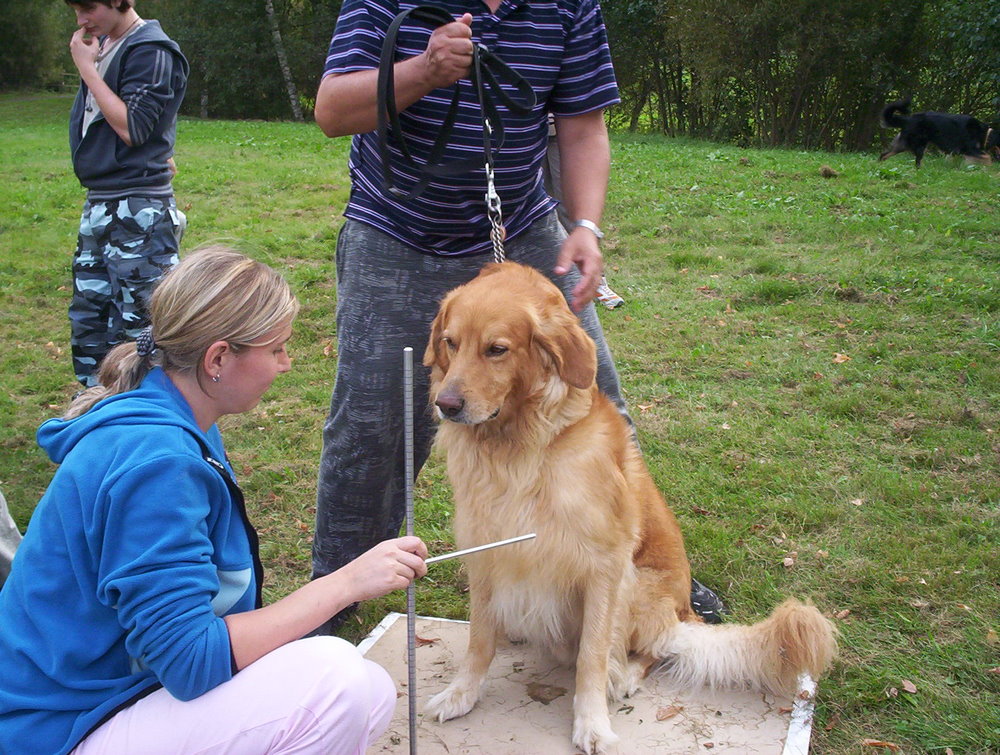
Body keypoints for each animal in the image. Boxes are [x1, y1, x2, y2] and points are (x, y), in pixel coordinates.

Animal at [422, 262, 836, 752]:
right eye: (450, 342)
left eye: (497, 349)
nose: (446, 405)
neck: (520, 445)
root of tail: (685, 614)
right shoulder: (487, 550)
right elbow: (479, 639)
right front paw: (461, 694)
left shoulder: (603, 566)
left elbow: (592, 656)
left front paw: (591, 723)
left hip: (639, 585)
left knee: (654, 650)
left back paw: (625, 675)